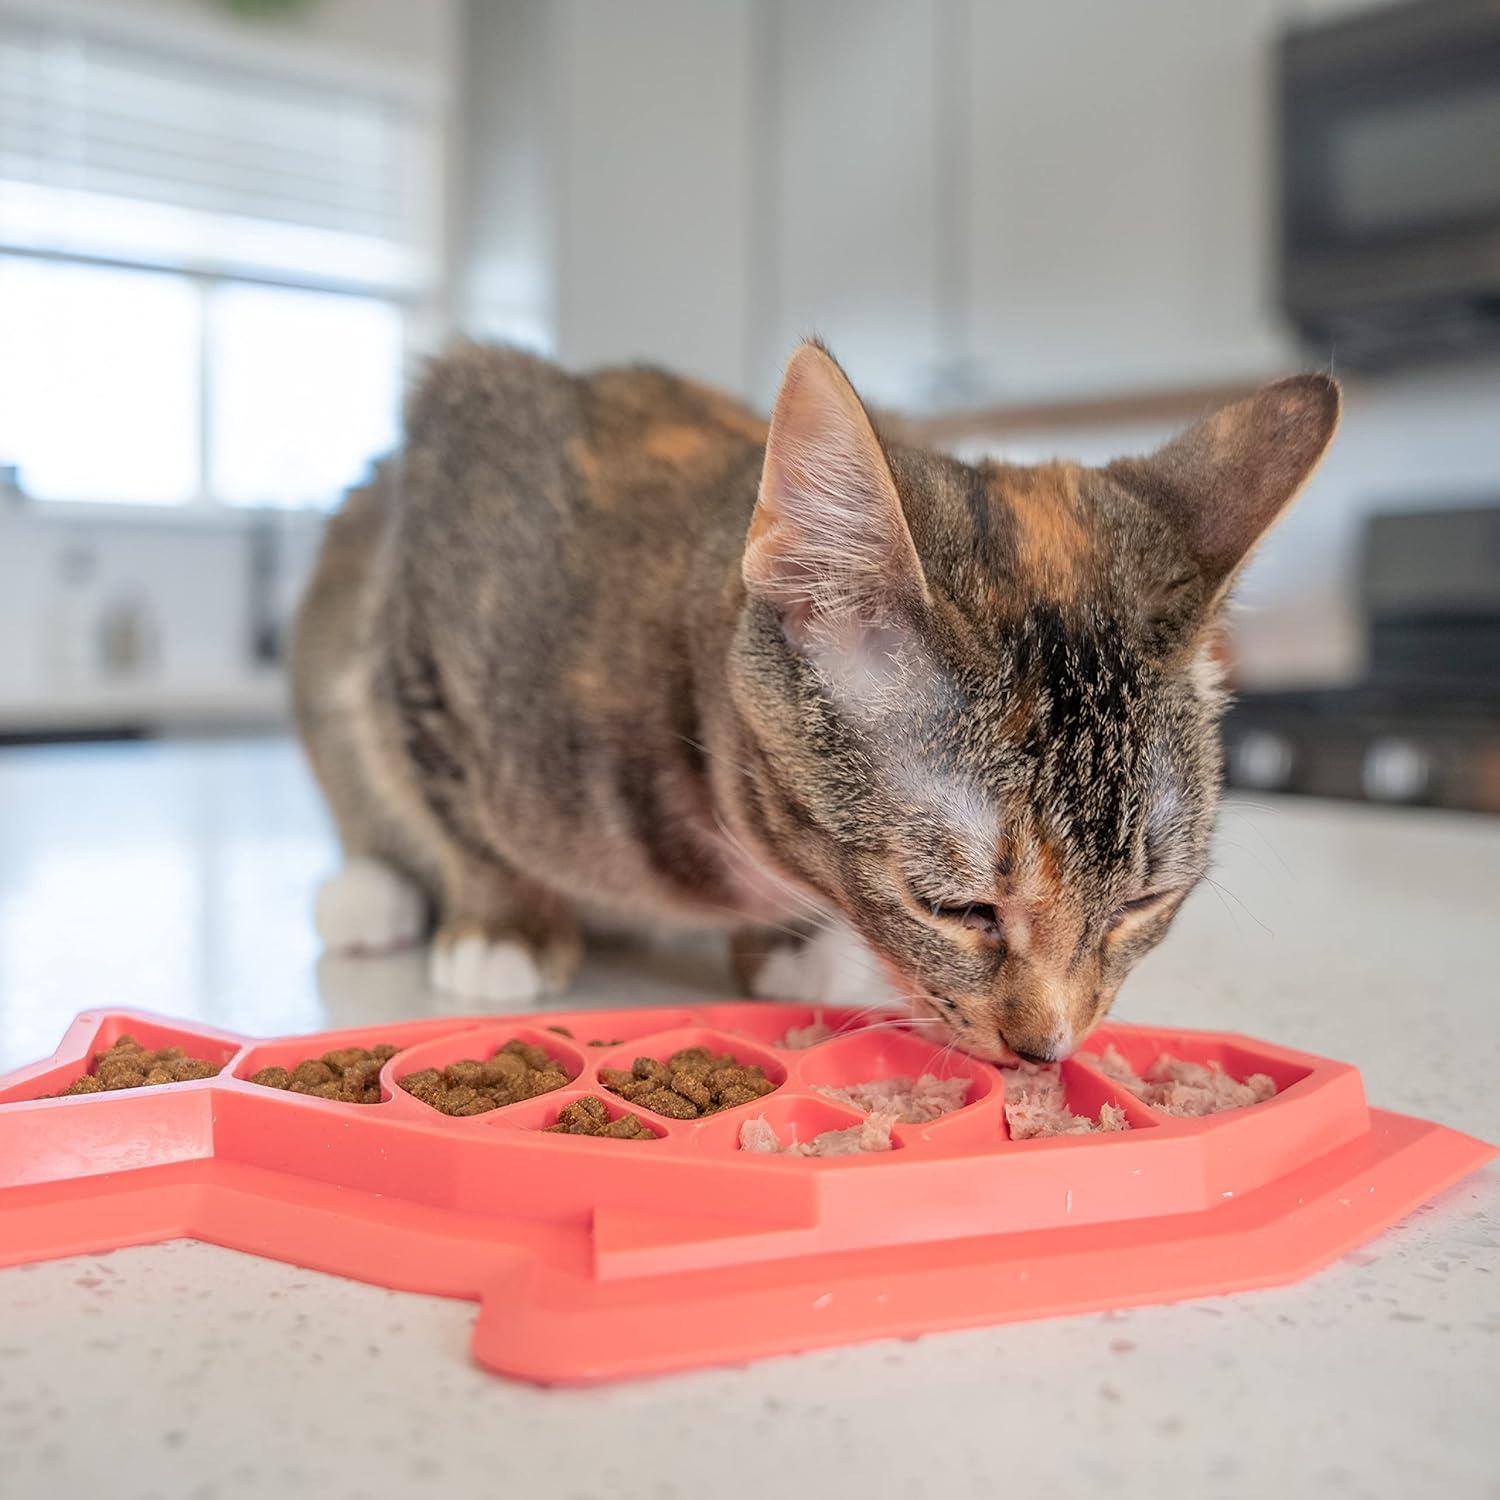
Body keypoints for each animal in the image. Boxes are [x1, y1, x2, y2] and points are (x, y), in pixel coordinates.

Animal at [292, 343, 1338, 1068]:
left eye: (1142, 903)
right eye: (957, 907)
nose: (1048, 1049)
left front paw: (789, 945)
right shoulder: (445, 544)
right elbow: (444, 786)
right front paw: (503, 919)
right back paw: (374, 888)